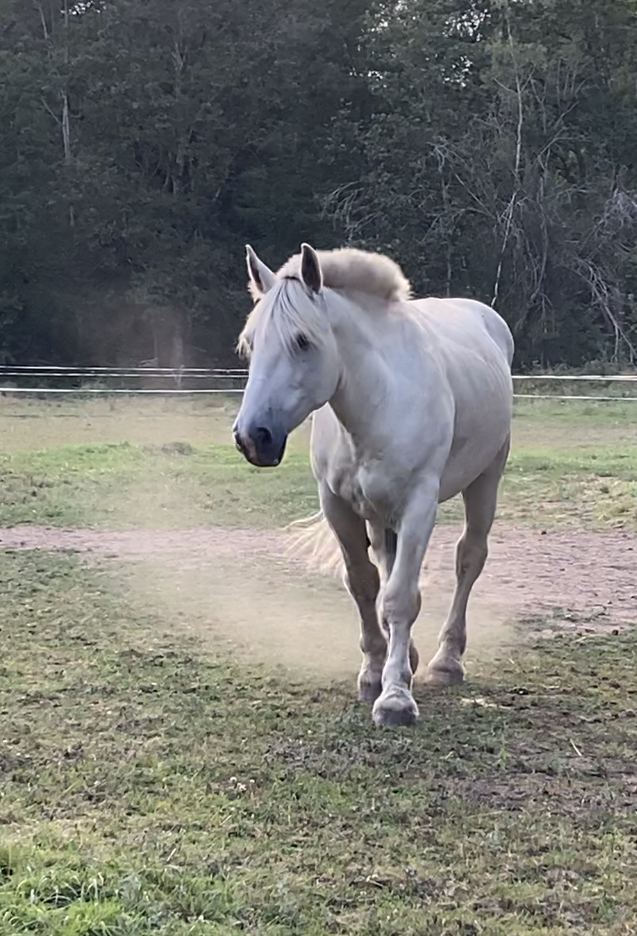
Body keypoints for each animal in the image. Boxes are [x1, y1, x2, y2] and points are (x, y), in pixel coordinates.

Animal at [232, 245, 512, 728]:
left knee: (469, 559)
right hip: (382, 515)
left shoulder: (419, 507)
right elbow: (365, 585)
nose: (253, 437)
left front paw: (395, 698)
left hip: (484, 481)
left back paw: (446, 661)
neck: (378, 398)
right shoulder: (339, 508)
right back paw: (411, 656)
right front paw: (373, 672)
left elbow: (400, 597)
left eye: (303, 341)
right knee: (388, 564)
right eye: (251, 343)